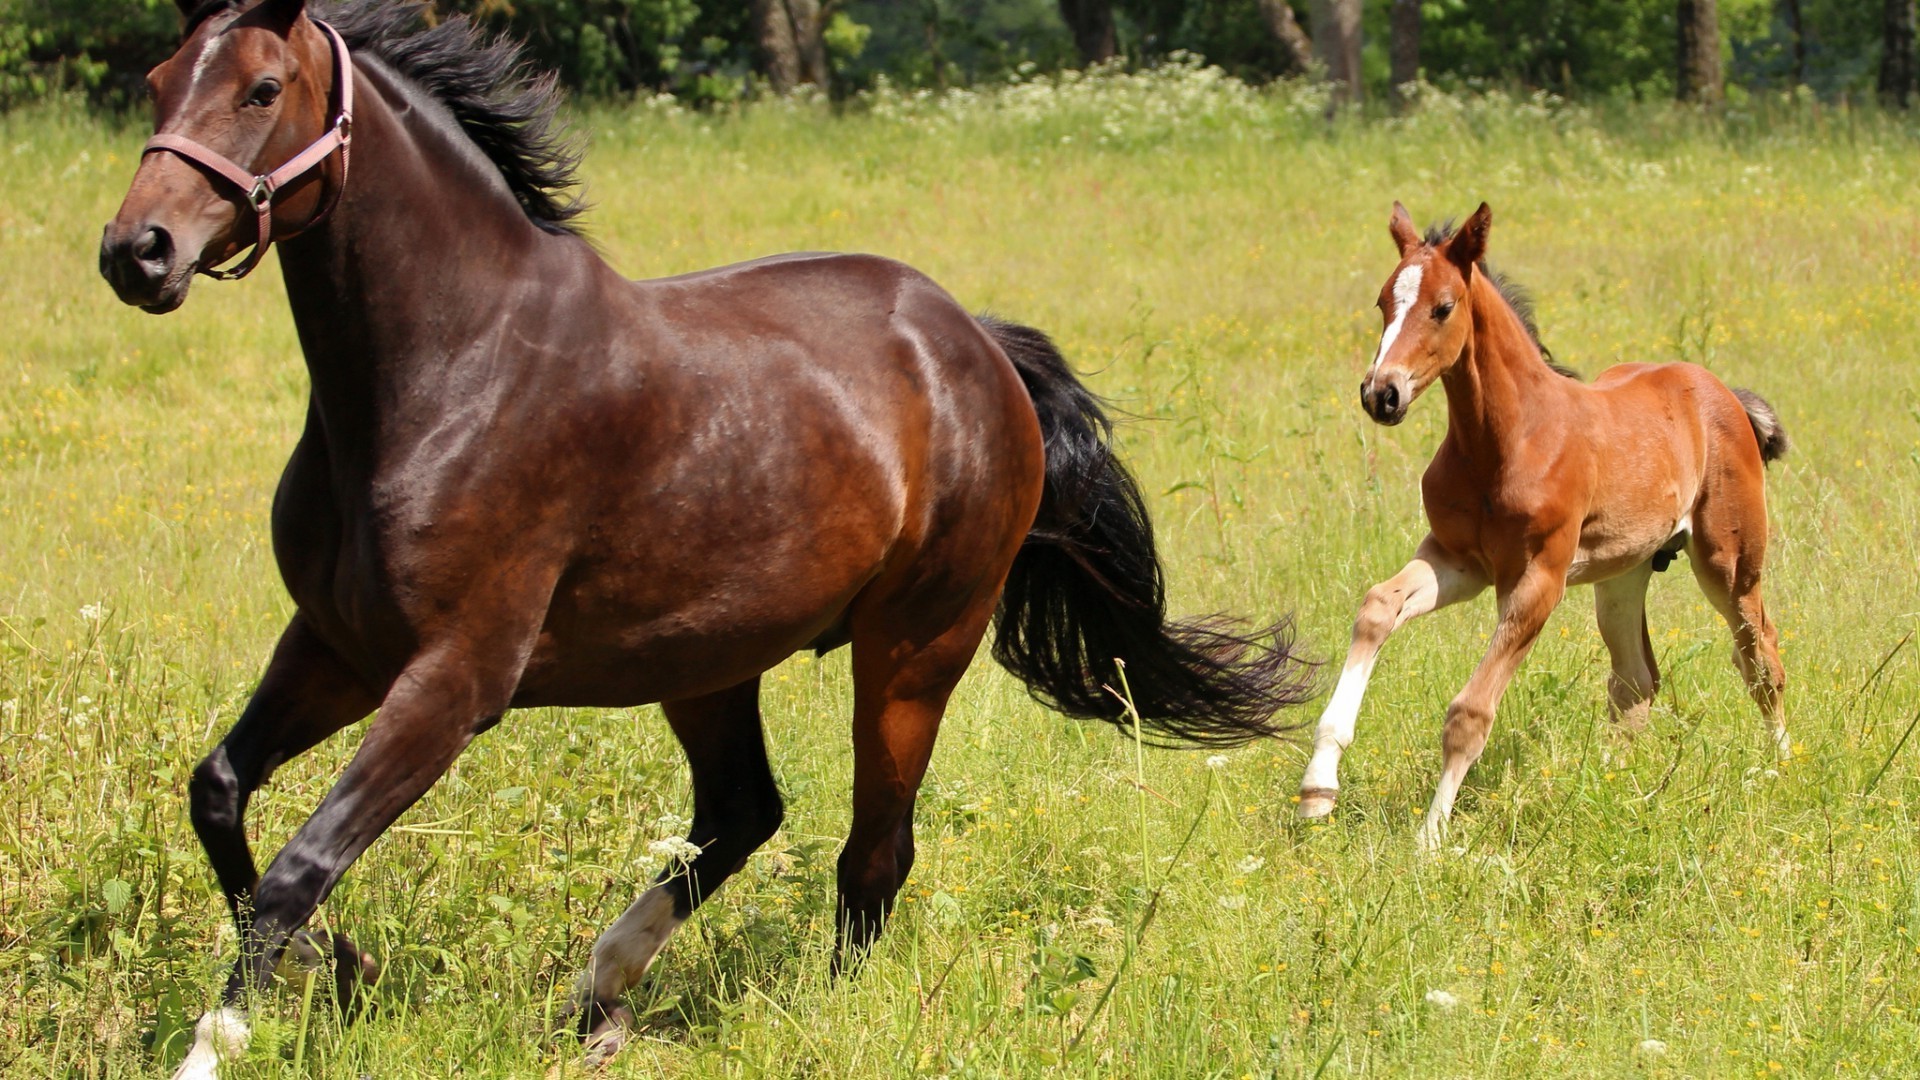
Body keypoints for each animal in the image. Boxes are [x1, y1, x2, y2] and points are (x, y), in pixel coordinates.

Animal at [97, 0, 1313, 1068]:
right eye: (159, 80)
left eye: (262, 89)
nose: (137, 251)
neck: (448, 369)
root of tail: (975, 343)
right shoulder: (338, 647)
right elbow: (220, 794)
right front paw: (338, 965)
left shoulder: (453, 681)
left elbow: (299, 863)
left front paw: (223, 1038)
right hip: (705, 660)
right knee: (743, 811)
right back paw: (599, 993)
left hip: (916, 646)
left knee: (874, 849)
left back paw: (814, 1018)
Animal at [1297, 197, 1789, 845]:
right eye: (1382, 302)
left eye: (1443, 307)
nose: (1382, 394)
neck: (1505, 440)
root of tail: (1722, 391)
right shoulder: (1458, 560)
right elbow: (1378, 606)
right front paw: (1318, 789)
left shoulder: (1537, 580)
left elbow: (1470, 713)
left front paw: (1430, 838)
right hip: (1623, 572)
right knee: (1636, 679)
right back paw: (1607, 784)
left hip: (1729, 563)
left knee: (1761, 658)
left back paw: (1780, 768)